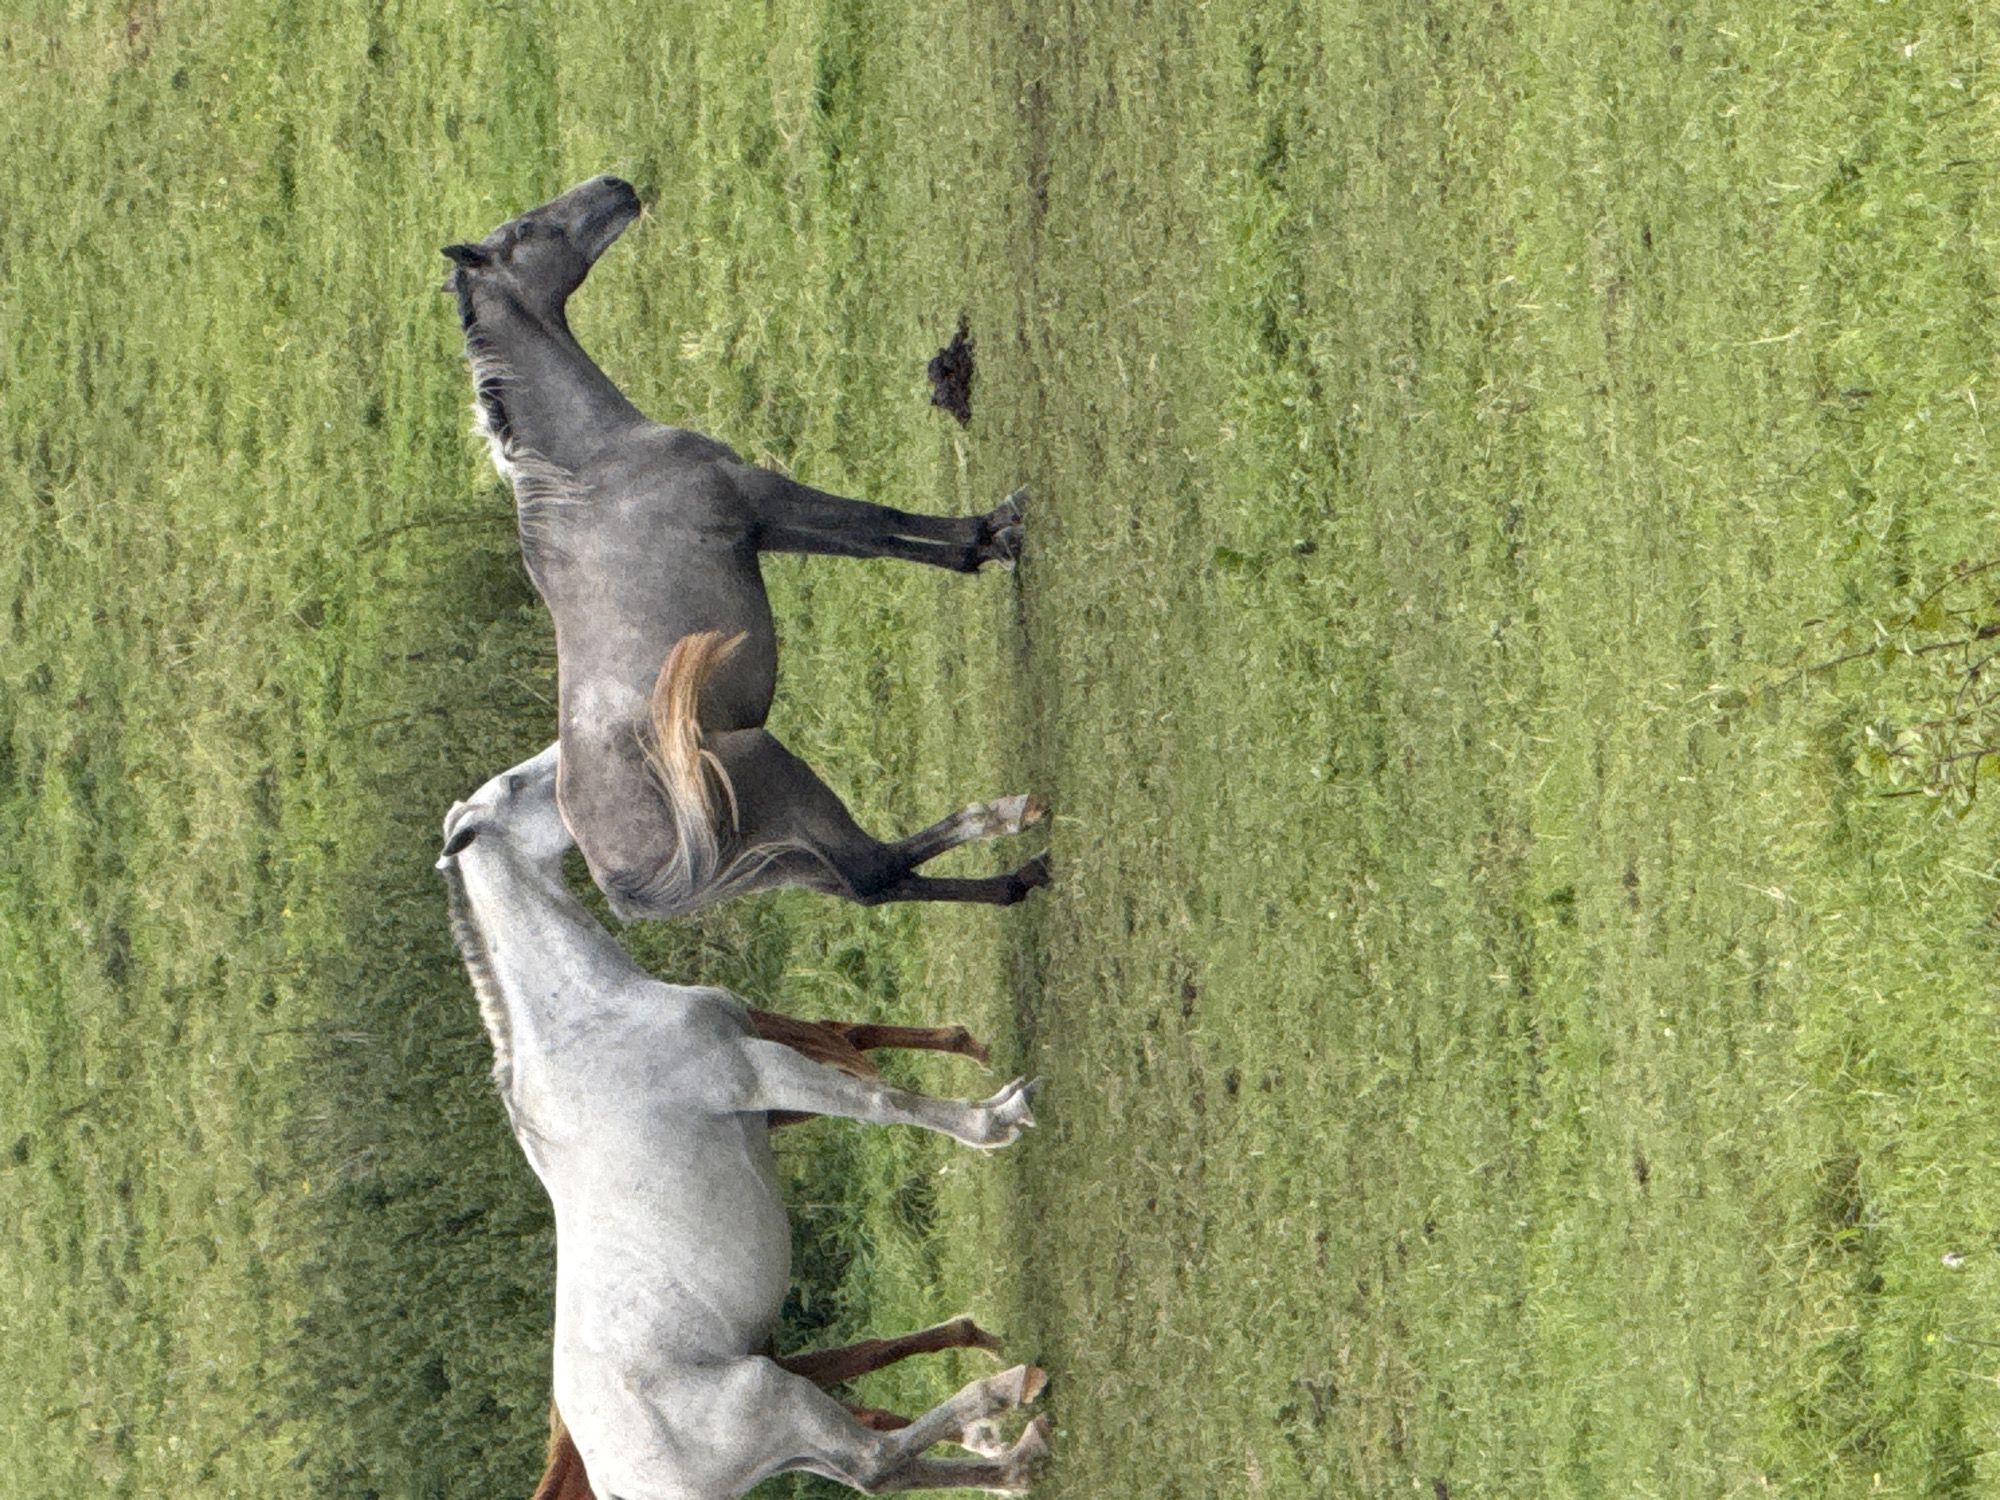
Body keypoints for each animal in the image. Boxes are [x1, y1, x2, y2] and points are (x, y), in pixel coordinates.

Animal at [438, 748, 1053, 1496]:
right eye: (516, 786)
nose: (569, 760)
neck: (590, 1023)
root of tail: (612, 1474)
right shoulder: (755, 1071)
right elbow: (884, 1103)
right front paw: (999, 1117)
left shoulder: (763, 1104)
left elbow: (871, 1087)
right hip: (775, 1399)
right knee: (876, 1460)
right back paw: (1003, 1394)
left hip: (788, 1434)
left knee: (884, 1470)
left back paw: (1019, 1453)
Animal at [442, 175, 1050, 922]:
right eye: (526, 230)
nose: (615, 186)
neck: (590, 467)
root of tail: (626, 883)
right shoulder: (760, 497)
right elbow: (876, 521)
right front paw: (1000, 528)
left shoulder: (763, 528)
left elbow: (874, 542)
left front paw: (981, 547)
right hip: (776, 776)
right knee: (880, 868)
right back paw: (1011, 821)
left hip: (785, 854)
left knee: (878, 881)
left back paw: (1018, 877)